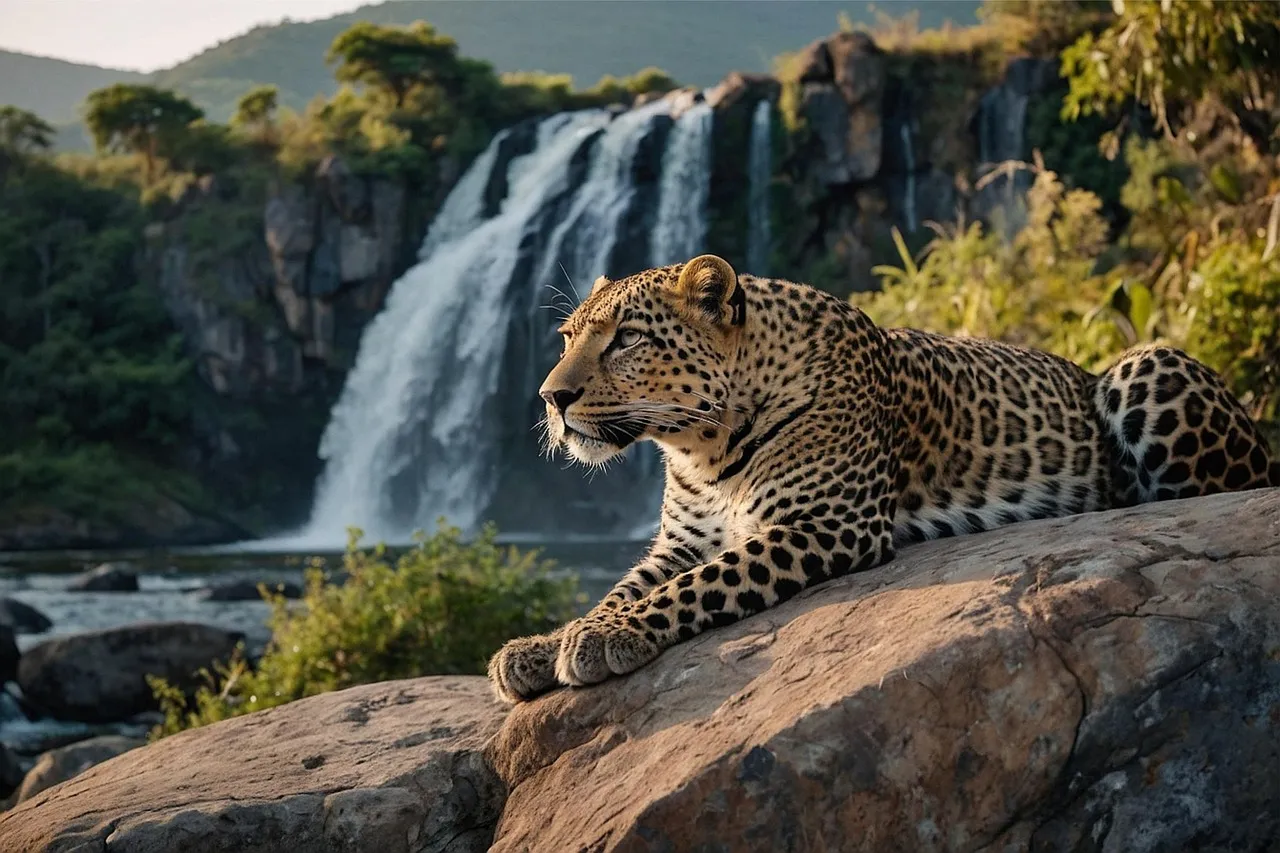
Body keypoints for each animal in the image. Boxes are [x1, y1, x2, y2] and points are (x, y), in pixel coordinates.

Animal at [488, 253, 1279, 704]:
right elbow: (624, 586)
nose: (551, 398)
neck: (700, 447)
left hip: (1145, 364)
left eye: (628, 339)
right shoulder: (679, 541)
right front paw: (544, 644)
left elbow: (698, 585)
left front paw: (604, 639)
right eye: (568, 337)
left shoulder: (826, 521)